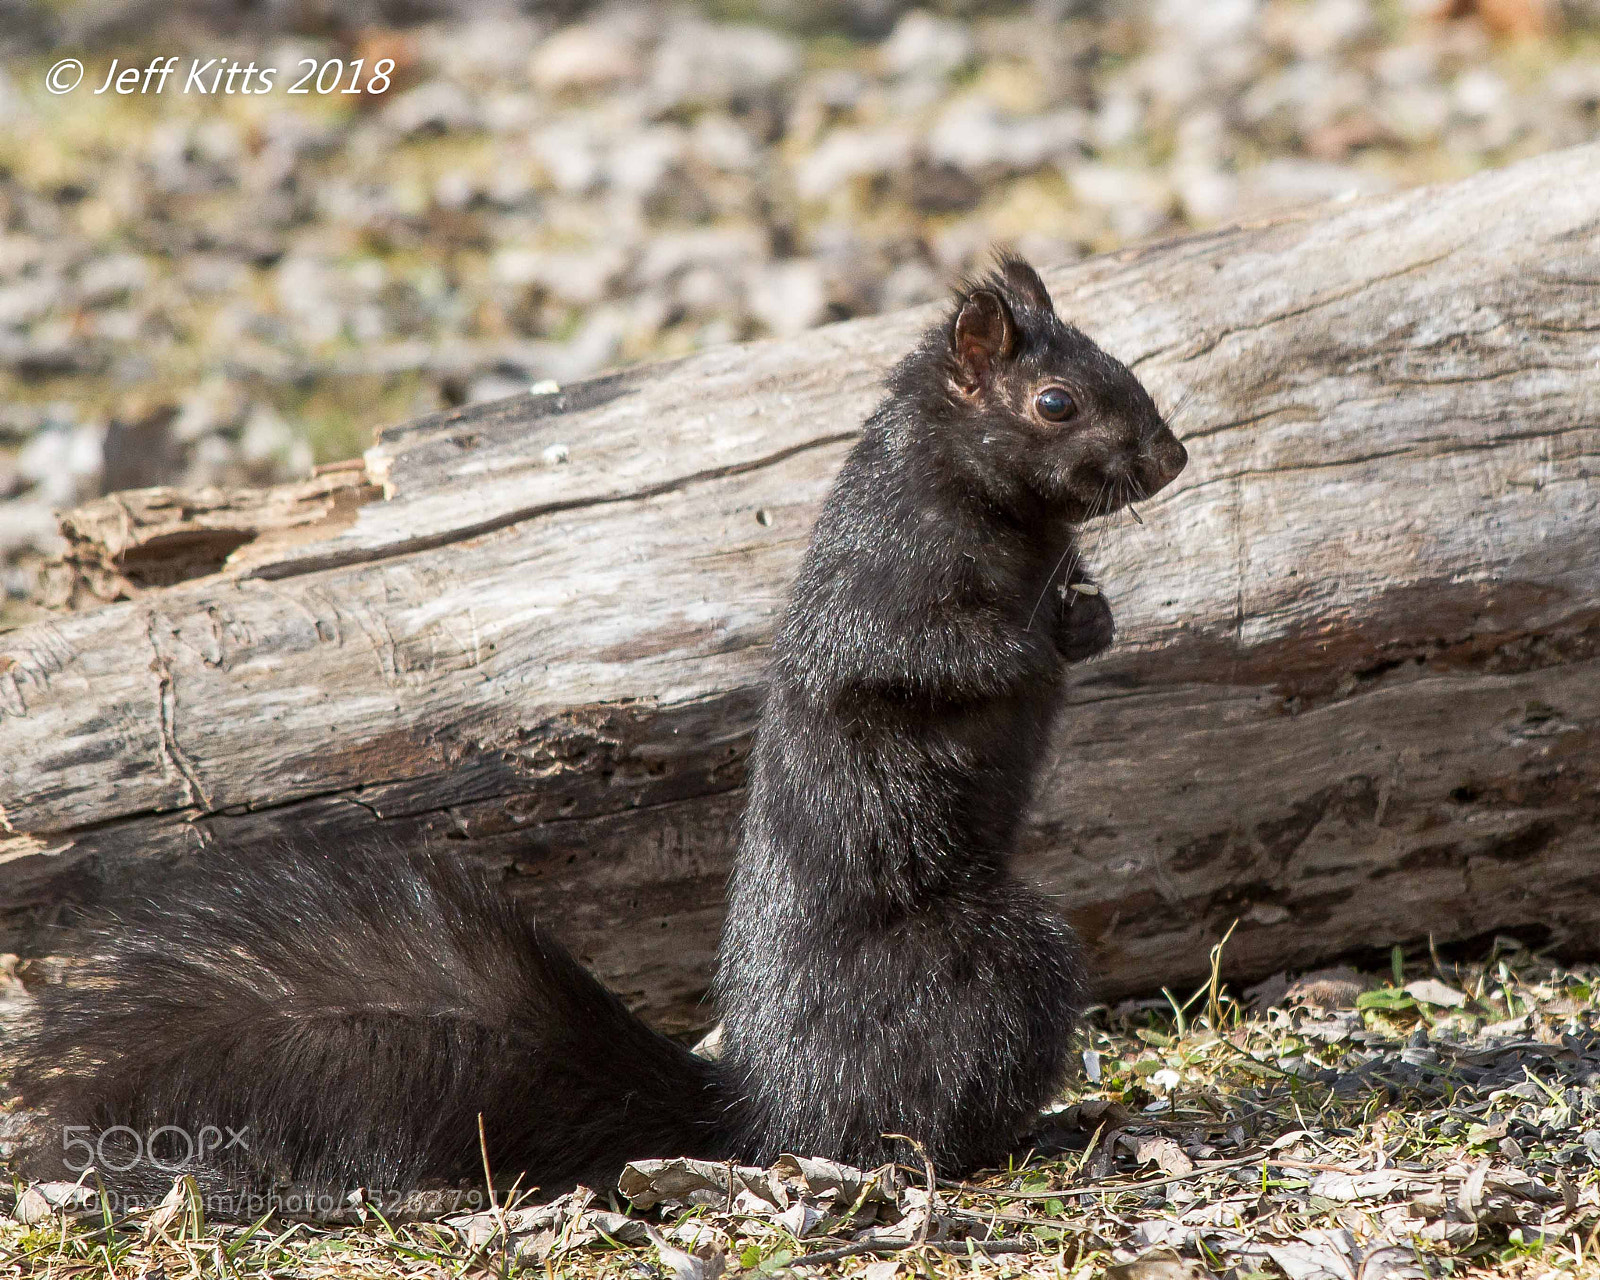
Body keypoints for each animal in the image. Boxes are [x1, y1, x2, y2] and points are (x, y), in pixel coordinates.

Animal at [8, 255, 1186, 1209]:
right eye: (1056, 401)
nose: (1171, 458)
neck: (989, 513)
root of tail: (766, 1109)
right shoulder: (885, 587)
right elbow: (927, 657)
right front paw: (1037, 644)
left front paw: (1091, 617)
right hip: (985, 967)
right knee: (904, 1119)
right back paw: (1019, 1135)